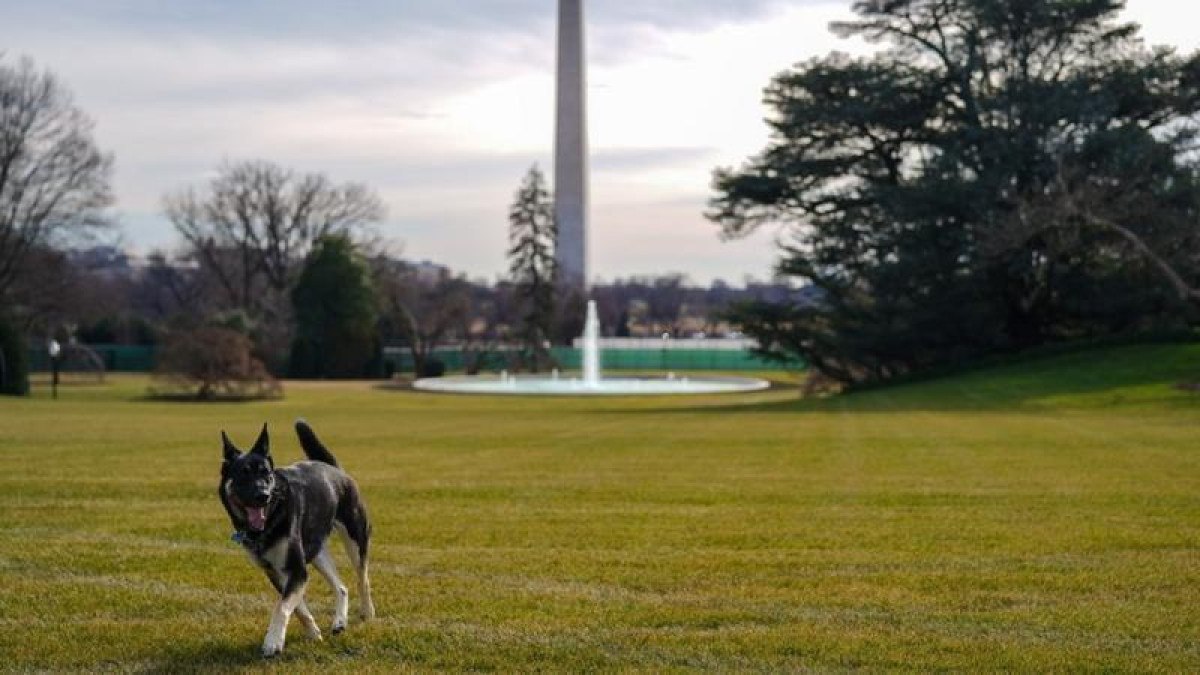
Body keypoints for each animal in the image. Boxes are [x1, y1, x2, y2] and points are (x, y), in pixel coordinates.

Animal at [220, 417, 374, 653]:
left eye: (266, 474)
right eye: (243, 475)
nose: (263, 495)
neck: (270, 518)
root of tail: (335, 468)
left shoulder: (296, 570)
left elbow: (281, 607)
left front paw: (273, 641)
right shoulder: (277, 572)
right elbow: (297, 608)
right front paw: (313, 634)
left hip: (355, 539)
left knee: (362, 578)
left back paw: (367, 612)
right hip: (317, 552)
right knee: (341, 587)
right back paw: (339, 622)